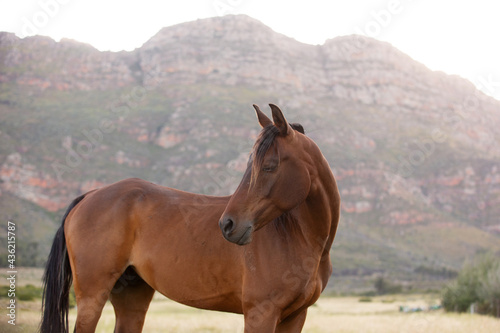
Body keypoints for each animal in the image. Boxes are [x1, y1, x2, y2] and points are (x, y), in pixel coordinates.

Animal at [41, 104, 340, 332]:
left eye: (270, 165)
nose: (228, 225)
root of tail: (89, 195)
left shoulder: (295, 316)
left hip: (131, 295)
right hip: (93, 296)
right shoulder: (260, 314)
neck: (299, 237)